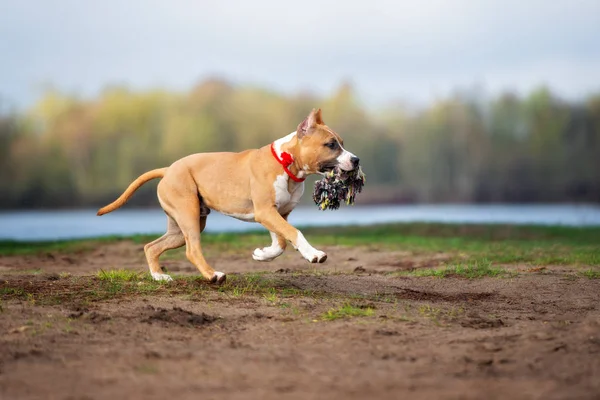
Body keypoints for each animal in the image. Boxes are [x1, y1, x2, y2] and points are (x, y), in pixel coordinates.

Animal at [98, 109, 358, 282]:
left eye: (342, 143)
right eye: (331, 144)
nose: (356, 160)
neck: (286, 163)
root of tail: (168, 169)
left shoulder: (278, 214)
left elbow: (282, 241)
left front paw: (262, 255)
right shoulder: (266, 212)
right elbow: (295, 233)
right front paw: (314, 254)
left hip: (181, 226)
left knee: (152, 247)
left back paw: (159, 277)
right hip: (188, 214)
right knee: (192, 250)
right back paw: (213, 275)